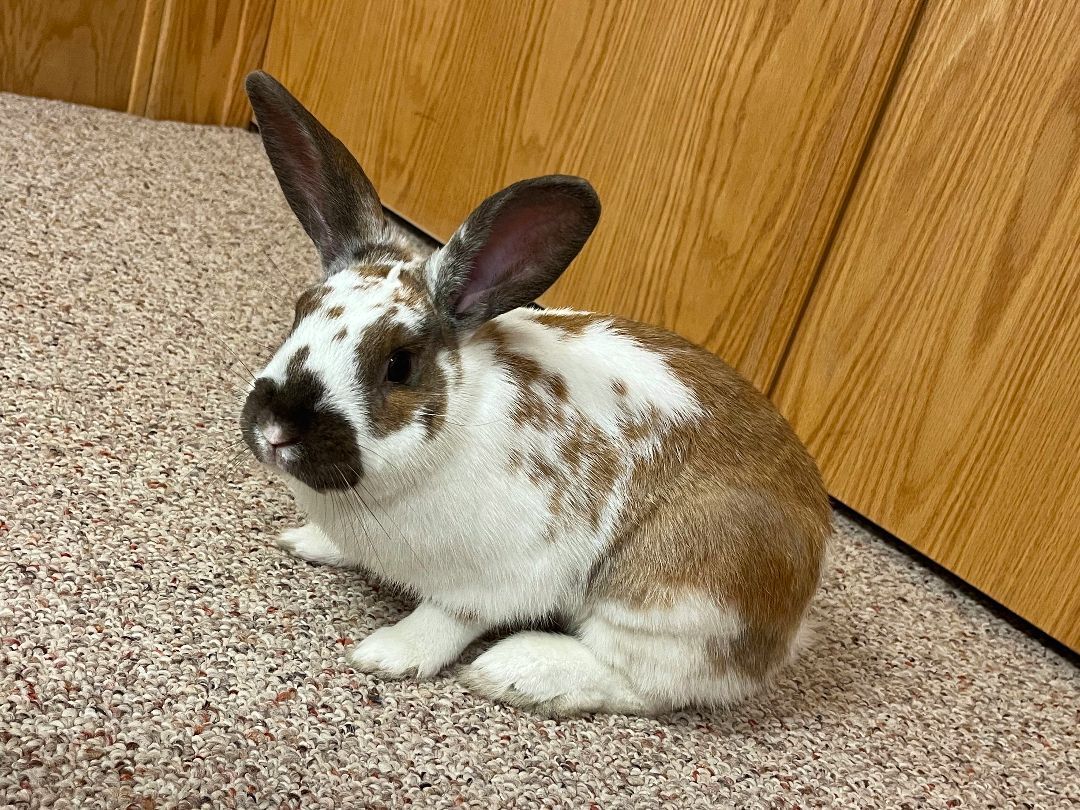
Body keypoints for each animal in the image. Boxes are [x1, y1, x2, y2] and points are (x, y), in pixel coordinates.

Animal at [239, 70, 831, 716]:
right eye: (299, 313)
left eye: (398, 365)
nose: (274, 429)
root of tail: (795, 614)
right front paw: (308, 541)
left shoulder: (496, 576)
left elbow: (447, 618)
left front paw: (386, 654)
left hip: (676, 598)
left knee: (648, 684)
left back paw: (515, 673)